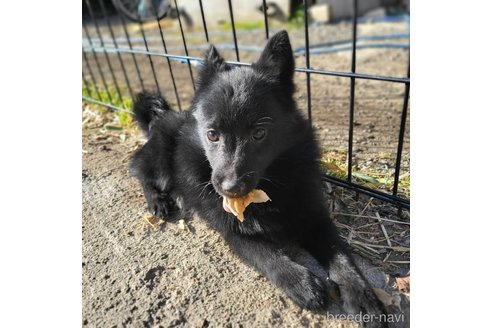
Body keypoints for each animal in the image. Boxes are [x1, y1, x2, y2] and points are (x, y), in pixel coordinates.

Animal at [131, 30, 388, 326]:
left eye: (259, 133)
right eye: (212, 134)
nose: (230, 189)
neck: (269, 185)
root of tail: (161, 116)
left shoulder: (314, 217)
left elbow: (342, 257)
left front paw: (363, 296)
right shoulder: (234, 232)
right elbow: (268, 256)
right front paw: (300, 282)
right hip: (162, 166)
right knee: (141, 172)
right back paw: (158, 202)